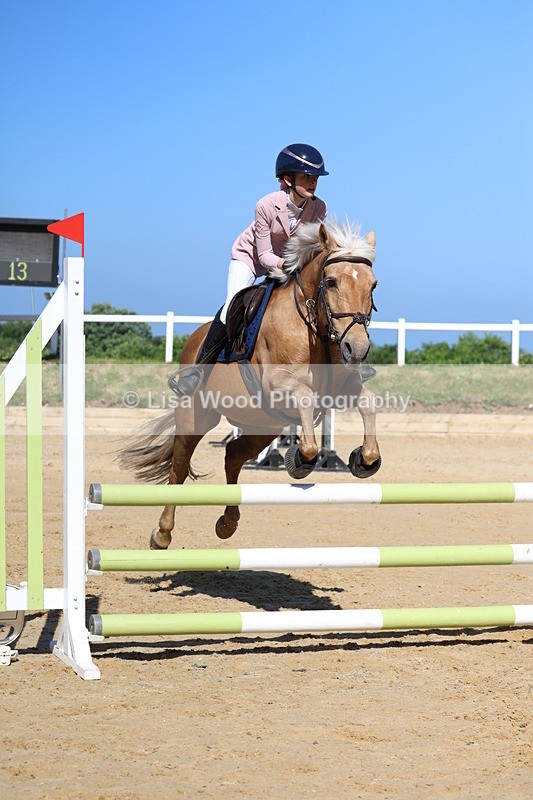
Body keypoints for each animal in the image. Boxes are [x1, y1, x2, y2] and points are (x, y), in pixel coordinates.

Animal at [118, 219, 381, 548]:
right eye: (331, 282)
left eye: (373, 285)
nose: (356, 349)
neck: (315, 329)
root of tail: (194, 338)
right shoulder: (279, 384)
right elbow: (305, 400)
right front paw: (301, 458)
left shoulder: (342, 390)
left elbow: (368, 402)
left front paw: (365, 459)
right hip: (196, 416)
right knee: (178, 469)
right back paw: (162, 534)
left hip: (262, 426)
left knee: (232, 456)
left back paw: (227, 523)